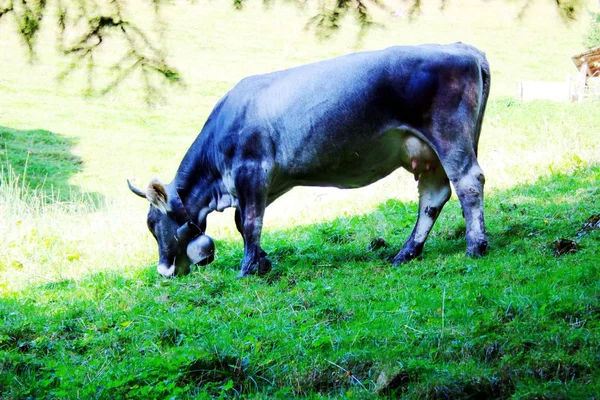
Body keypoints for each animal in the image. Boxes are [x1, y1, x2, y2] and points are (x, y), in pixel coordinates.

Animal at [129, 41, 490, 278]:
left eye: (153, 224)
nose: (164, 271)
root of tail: (463, 49)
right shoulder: (272, 180)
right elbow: (243, 222)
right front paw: (261, 262)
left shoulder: (252, 169)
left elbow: (251, 221)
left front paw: (247, 269)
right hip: (427, 154)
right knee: (433, 195)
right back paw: (406, 252)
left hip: (449, 137)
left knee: (468, 183)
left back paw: (476, 245)